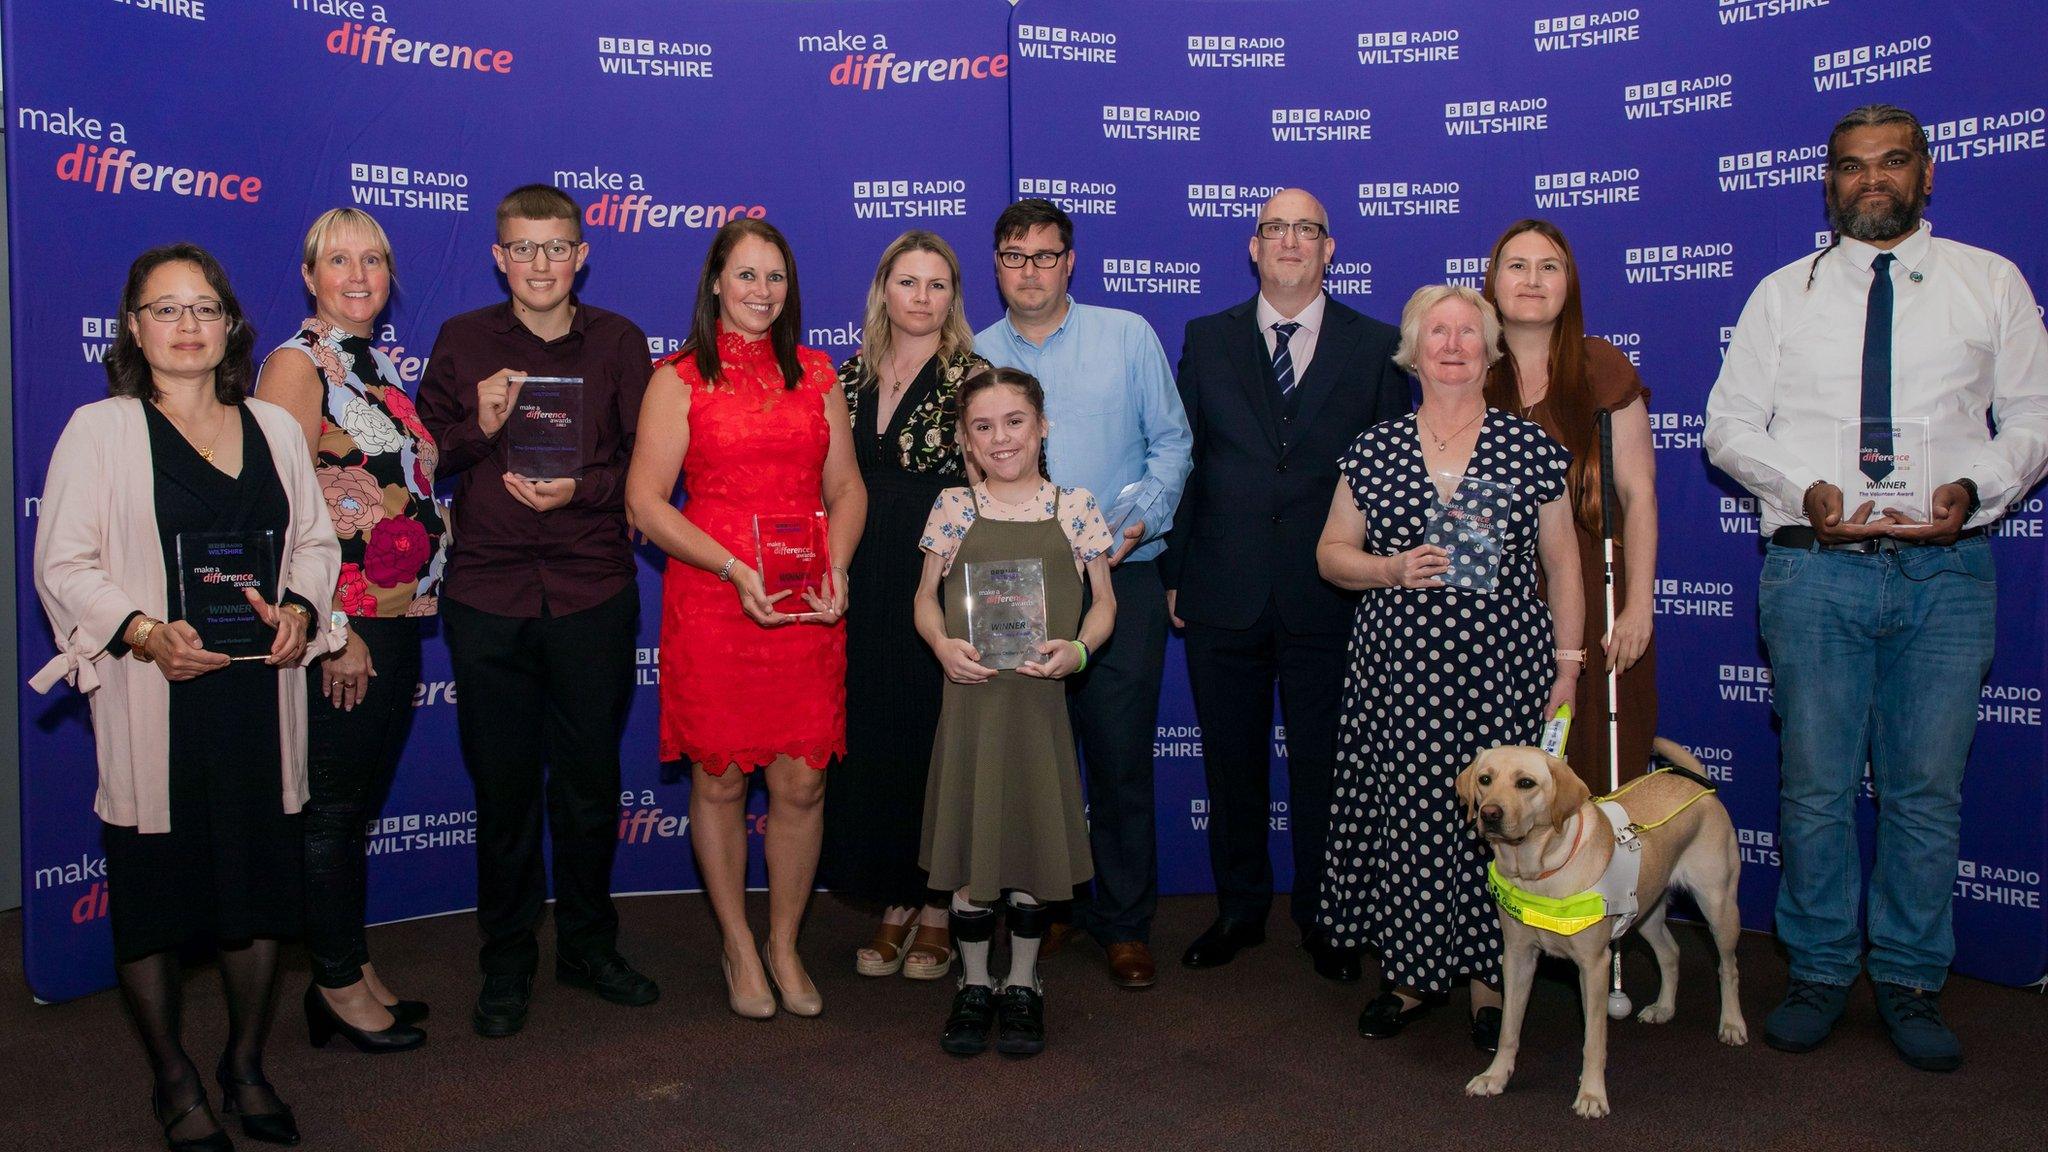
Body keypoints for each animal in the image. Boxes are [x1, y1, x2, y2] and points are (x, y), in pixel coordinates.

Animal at [1458, 733, 1744, 1115]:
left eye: (1526, 783)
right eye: (1485, 779)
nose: (1489, 814)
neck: (1540, 873)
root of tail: (1697, 783)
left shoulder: (1594, 965)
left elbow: (1593, 1039)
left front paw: (1592, 1094)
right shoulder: (1518, 957)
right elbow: (1508, 1029)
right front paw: (1495, 1076)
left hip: (1718, 905)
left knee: (1728, 967)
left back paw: (1732, 1023)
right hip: (1646, 911)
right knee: (1670, 952)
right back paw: (1664, 1008)